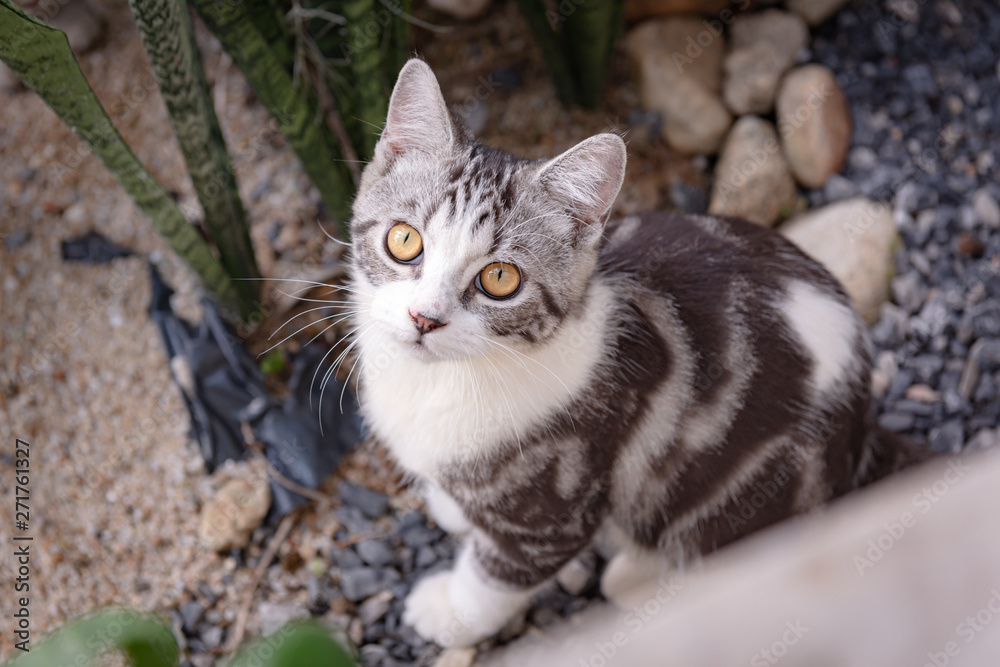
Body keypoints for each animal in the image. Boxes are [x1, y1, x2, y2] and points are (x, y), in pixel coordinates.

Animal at [346, 61, 928, 648]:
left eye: (500, 279)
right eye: (403, 240)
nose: (425, 317)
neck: (442, 381)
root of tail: (859, 429)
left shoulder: (555, 503)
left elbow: (501, 574)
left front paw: (450, 612)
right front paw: (451, 506)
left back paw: (639, 575)